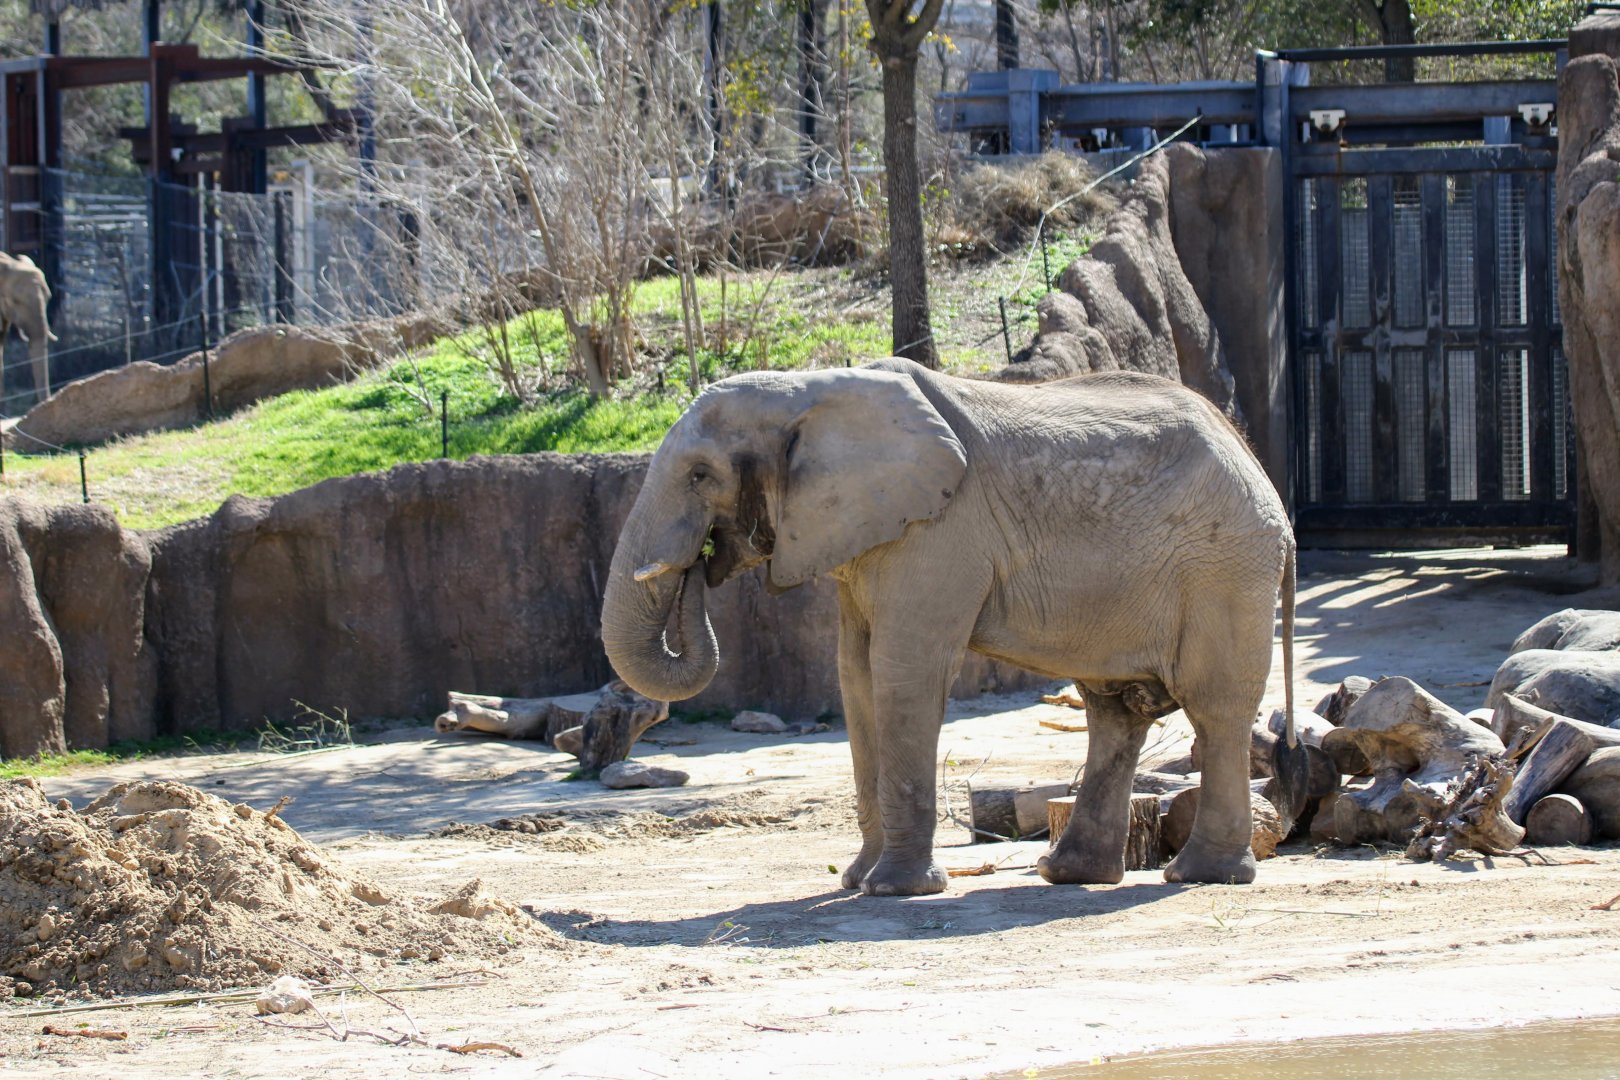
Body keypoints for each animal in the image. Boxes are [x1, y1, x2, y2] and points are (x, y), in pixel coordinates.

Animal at [601, 358, 1296, 896]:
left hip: (1224, 568)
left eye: (701, 475)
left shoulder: (938, 531)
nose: (702, 561)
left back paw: (1201, 876)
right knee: (1116, 709)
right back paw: (1067, 874)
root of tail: (1262, 473)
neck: (810, 390)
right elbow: (855, 678)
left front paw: (894, 890)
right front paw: (855, 881)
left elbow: (903, 673)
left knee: (1214, 706)